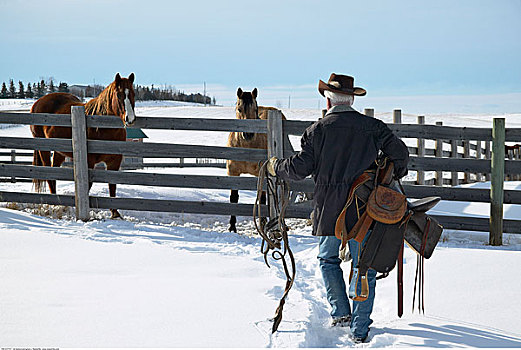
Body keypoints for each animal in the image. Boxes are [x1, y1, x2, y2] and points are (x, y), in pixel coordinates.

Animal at [29, 72, 136, 217]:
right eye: (119, 95)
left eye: (133, 94)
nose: (130, 119)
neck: (103, 128)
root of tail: (37, 103)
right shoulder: (89, 161)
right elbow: (87, 185)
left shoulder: (115, 161)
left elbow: (112, 184)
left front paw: (115, 213)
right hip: (43, 148)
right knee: (49, 173)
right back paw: (54, 204)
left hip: (59, 151)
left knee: (55, 170)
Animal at [225, 87, 286, 232]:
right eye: (239, 108)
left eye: (255, 109)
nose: (248, 134)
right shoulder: (233, 173)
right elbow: (234, 198)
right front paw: (232, 227)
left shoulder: (261, 173)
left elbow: (262, 199)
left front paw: (263, 224)